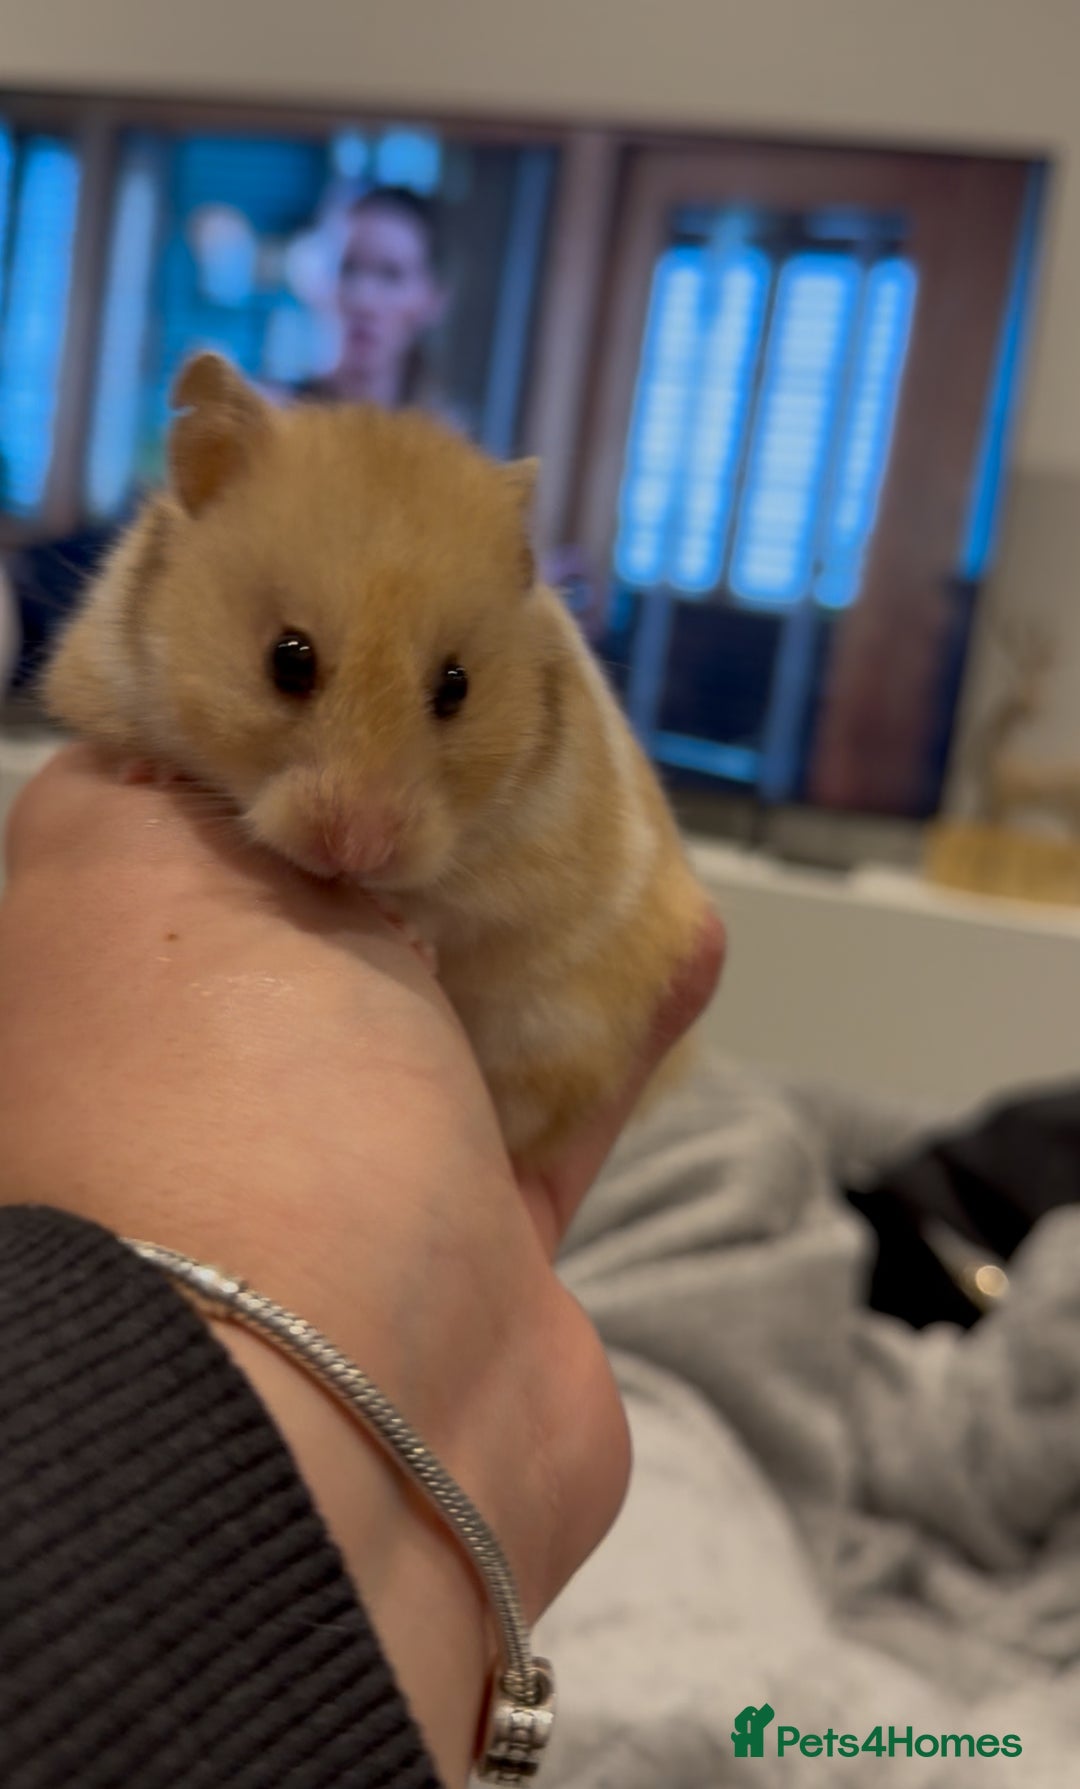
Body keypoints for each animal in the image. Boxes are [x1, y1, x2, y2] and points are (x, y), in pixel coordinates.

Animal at [43, 353, 713, 1170]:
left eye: (456, 686)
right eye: (287, 659)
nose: (358, 851)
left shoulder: (541, 875)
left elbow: (459, 913)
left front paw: (409, 930)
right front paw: (153, 772)